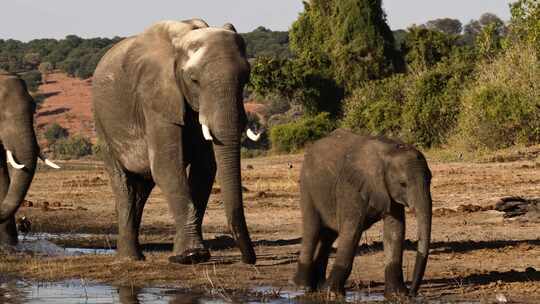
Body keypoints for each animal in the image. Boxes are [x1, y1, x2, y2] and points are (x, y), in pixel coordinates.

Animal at [92, 19, 260, 264]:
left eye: (246, 78)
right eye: (194, 80)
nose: (250, 260)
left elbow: (204, 169)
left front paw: (187, 255)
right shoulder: (155, 98)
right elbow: (167, 165)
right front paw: (191, 256)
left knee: (141, 188)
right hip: (103, 124)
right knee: (124, 184)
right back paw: (129, 259)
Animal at [294, 127, 432, 296]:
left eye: (430, 180)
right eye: (403, 184)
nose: (413, 292)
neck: (389, 151)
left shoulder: (389, 192)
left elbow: (395, 231)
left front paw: (397, 295)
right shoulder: (352, 186)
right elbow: (352, 231)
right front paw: (333, 294)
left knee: (328, 236)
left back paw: (318, 287)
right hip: (307, 187)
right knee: (312, 229)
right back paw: (303, 288)